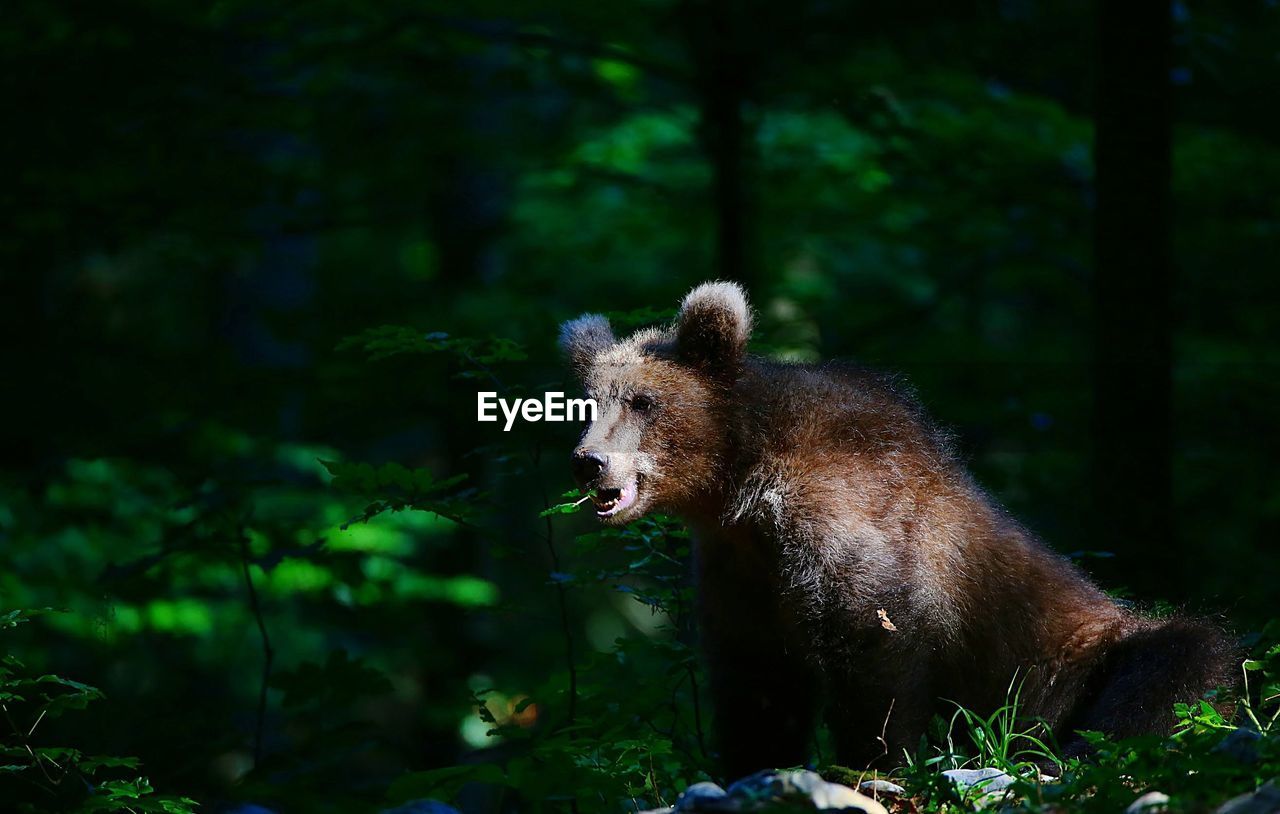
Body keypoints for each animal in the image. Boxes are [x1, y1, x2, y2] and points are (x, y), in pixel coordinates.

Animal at [558, 282, 1228, 778]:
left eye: (643, 401)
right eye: (587, 403)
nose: (589, 460)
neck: (740, 486)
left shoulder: (848, 521)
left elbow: (874, 645)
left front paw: (872, 763)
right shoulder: (741, 573)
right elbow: (757, 681)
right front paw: (751, 763)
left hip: (1089, 656)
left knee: (1183, 660)